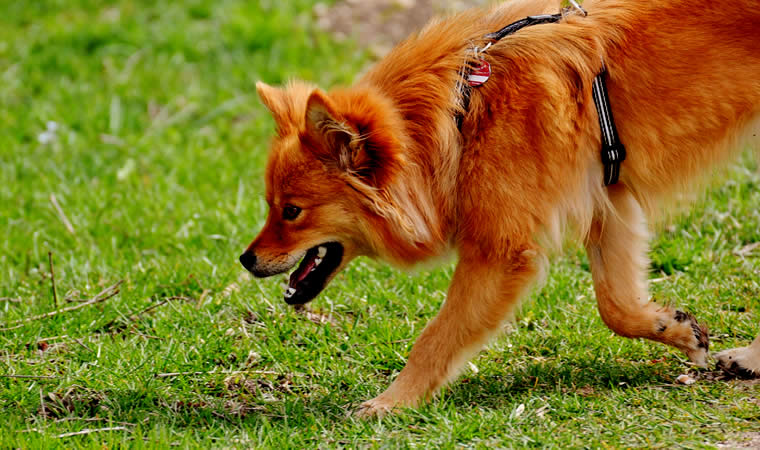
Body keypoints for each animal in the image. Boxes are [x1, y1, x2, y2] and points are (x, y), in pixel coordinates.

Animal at [239, 0, 760, 418]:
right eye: (270, 205)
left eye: (292, 212)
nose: (245, 259)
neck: (464, 110)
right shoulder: (609, 205)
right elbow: (616, 306)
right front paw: (677, 329)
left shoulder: (498, 252)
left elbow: (436, 337)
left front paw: (392, 402)